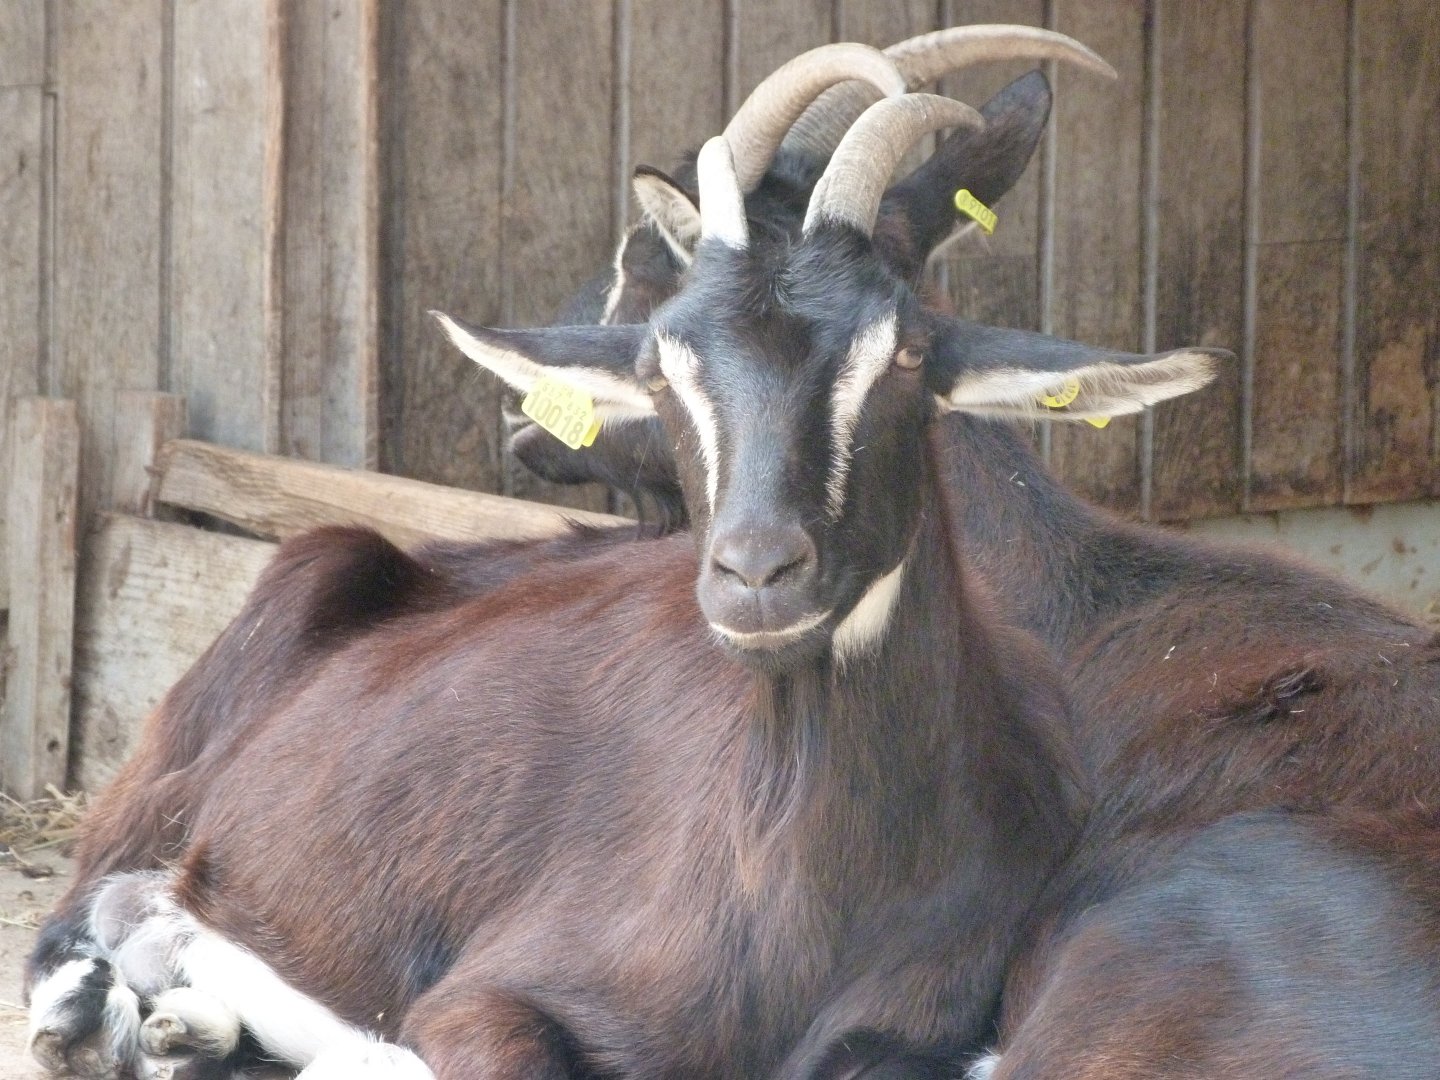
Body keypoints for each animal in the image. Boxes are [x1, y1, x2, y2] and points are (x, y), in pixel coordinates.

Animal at [26, 86, 1223, 1079]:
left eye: (908, 354)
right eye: (659, 364)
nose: (754, 572)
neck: (799, 893)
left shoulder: (924, 1033)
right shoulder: (488, 996)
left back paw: (185, 1028)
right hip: (187, 758)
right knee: (93, 903)